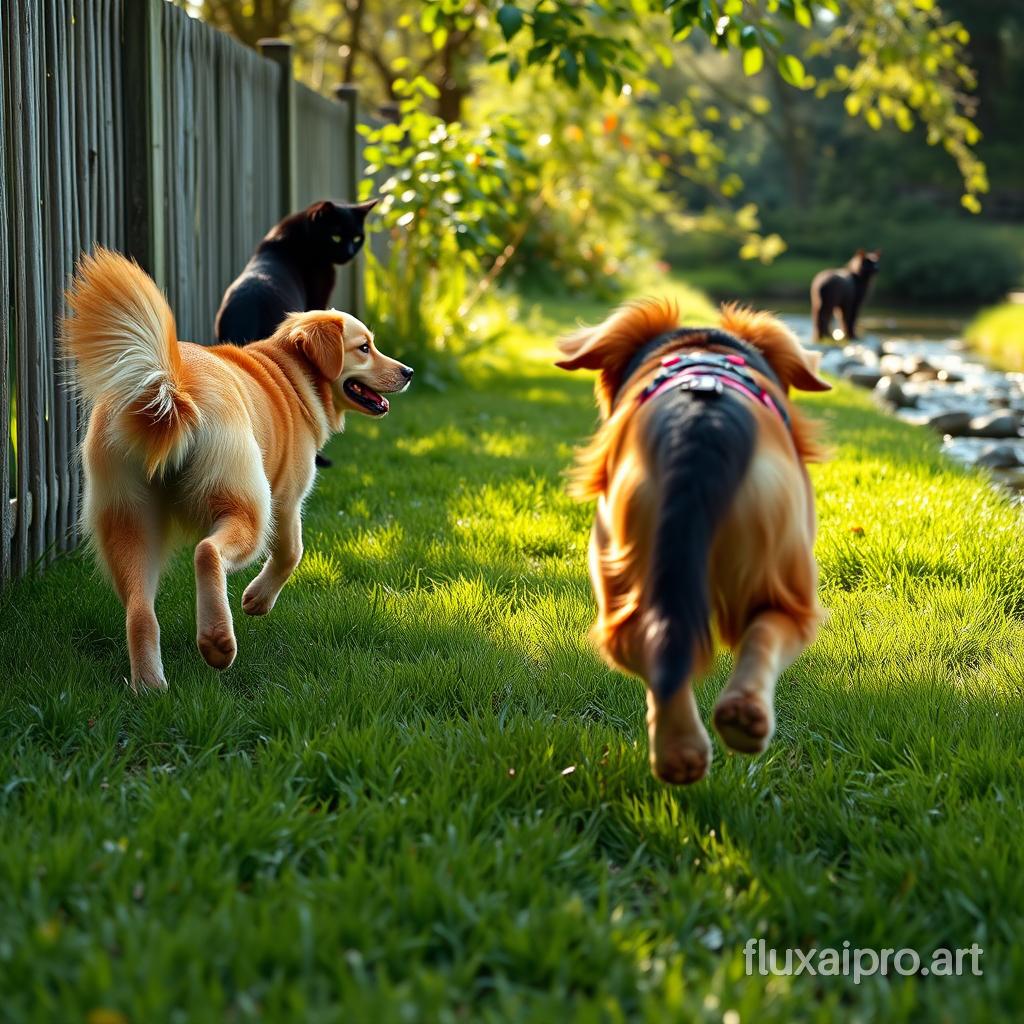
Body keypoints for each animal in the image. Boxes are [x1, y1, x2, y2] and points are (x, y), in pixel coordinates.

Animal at [64, 247, 411, 692]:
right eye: (364, 347)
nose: (409, 372)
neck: (292, 373)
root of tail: (169, 386)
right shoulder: (287, 500)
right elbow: (291, 553)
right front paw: (257, 600)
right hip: (248, 504)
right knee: (207, 552)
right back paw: (217, 642)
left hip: (129, 521)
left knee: (140, 611)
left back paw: (150, 685)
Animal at [561, 299, 831, 786]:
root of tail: (701, 427)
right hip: (783, 571)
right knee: (766, 631)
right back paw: (734, 724)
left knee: (658, 649)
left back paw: (688, 746)